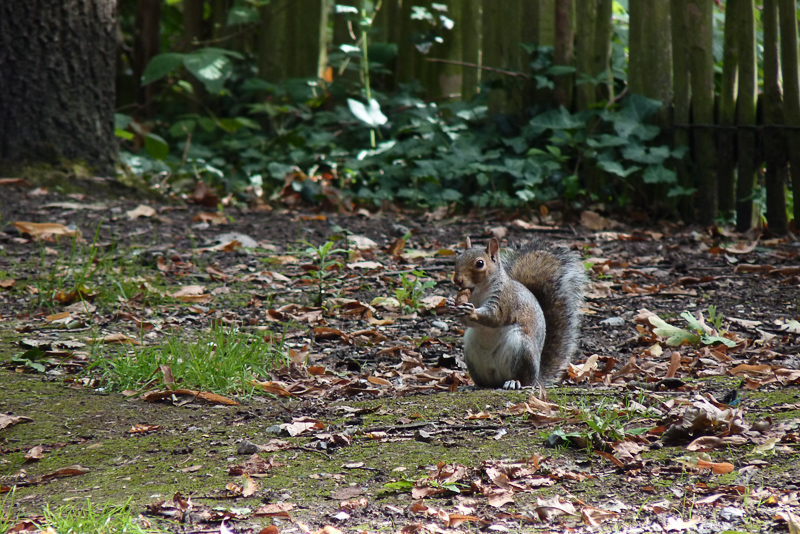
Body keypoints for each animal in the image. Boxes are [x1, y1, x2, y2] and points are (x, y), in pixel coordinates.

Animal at [446, 237, 584, 392]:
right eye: (457, 260)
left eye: (479, 263)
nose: (457, 280)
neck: (479, 290)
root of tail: (537, 377)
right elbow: (467, 322)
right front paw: (450, 303)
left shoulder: (505, 299)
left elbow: (495, 317)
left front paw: (472, 311)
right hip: (472, 354)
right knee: (485, 382)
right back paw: (475, 386)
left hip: (522, 348)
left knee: (524, 379)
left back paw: (514, 382)